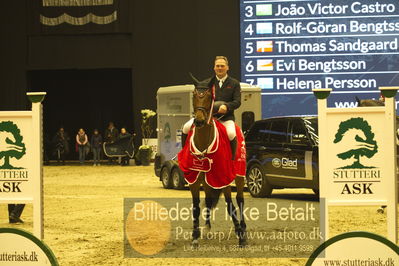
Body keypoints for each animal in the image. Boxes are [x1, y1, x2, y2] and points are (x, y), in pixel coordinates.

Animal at [178, 74, 247, 247]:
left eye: (209, 96)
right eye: (194, 95)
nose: (199, 121)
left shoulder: (224, 178)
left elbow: (230, 205)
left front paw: (241, 236)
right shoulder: (194, 180)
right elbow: (196, 206)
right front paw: (195, 236)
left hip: (238, 175)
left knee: (240, 199)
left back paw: (243, 228)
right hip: (207, 179)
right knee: (209, 200)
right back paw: (207, 229)